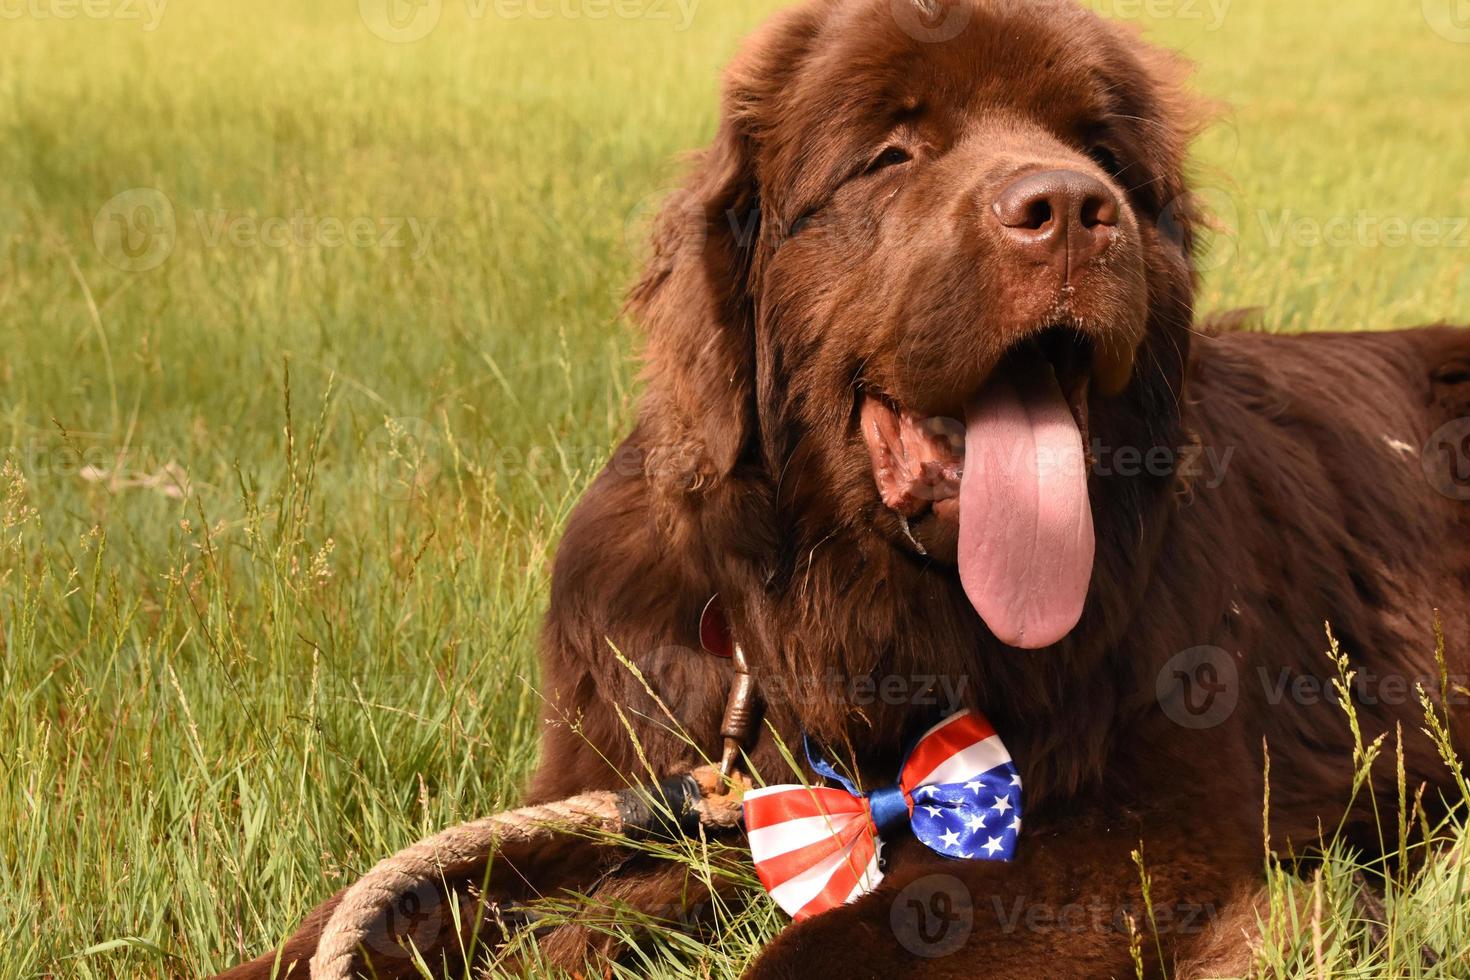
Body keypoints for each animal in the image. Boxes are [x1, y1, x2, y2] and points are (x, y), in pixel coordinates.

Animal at [220, 1, 1470, 980]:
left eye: (1096, 147)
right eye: (891, 154)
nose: (1071, 206)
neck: (830, 611)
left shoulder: (1148, 819)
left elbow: (841, 938)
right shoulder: (628, 778)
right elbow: (381, 901)